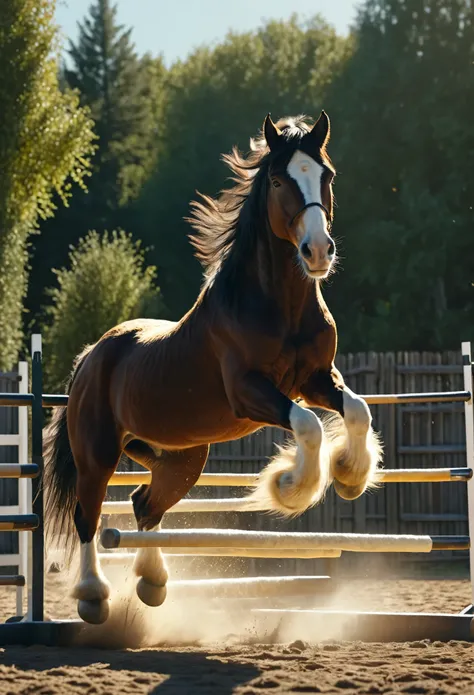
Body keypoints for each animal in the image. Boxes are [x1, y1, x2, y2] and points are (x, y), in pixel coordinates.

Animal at [44, 113, 384, 624]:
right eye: (279, 179)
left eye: (326, 175)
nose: (318, 252)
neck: (277, 305)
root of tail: (90, 356)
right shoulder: (249, 391)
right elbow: (307, 425)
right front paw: (289, 486)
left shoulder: (316, 380)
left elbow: (358, 410)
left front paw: (348, 475)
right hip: (98, 453)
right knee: (89, 515)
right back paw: (93, 596)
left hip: (182, 459)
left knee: (144, 505)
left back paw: (152, 583)